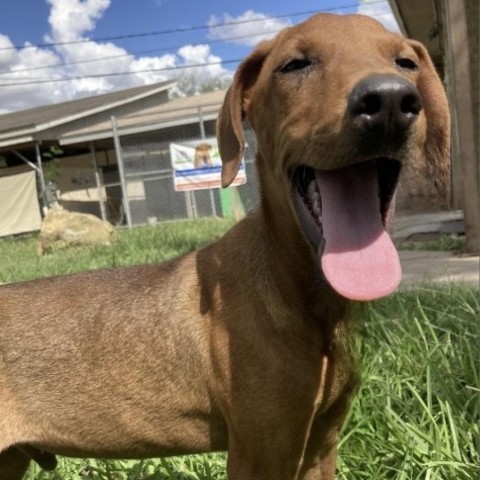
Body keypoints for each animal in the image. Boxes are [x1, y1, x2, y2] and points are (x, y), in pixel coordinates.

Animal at [0, 13, 450, 478]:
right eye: (294, 65)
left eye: (405, 63)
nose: (390, 100)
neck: (299, 291)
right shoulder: (261, 451)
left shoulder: (320, 446)